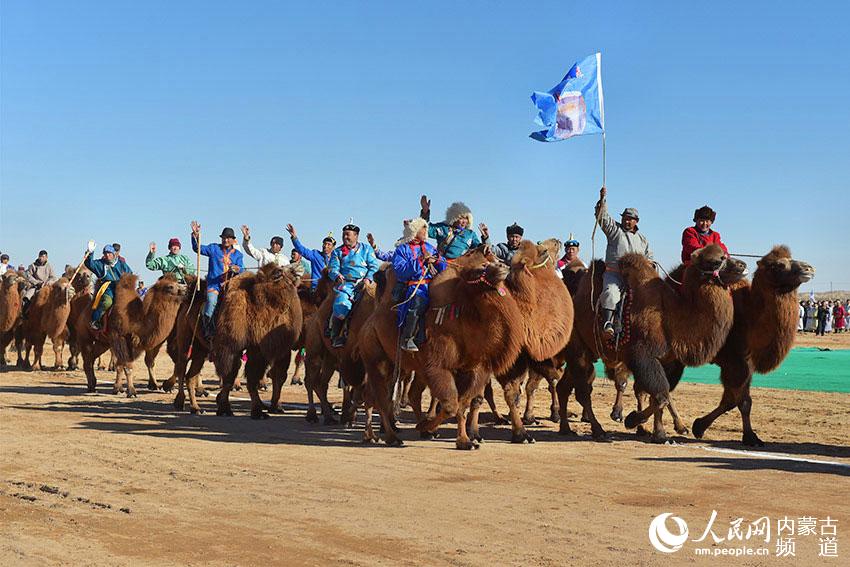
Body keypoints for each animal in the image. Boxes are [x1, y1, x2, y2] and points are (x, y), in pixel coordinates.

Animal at [556, 244, 736, 444]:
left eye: (725, 254)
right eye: (715, 261)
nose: (742, 266)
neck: (670, 313)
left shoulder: (667, 361)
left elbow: (659, 396)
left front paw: (659, 433)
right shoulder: (643, 356)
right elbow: (660, 396)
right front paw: (633, 420)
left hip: (583, 350)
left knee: (564, 387)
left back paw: (565, 428)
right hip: (578, 349)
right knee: (583, 392)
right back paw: (598, 430)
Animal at [688, 246, 816, 446]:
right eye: (779, 265)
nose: (808, 268)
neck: (749, 317)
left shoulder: (746, 363)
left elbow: (733, 401)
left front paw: (699, 426)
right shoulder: (734, 362)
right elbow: (741, 402)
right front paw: (749, 437)